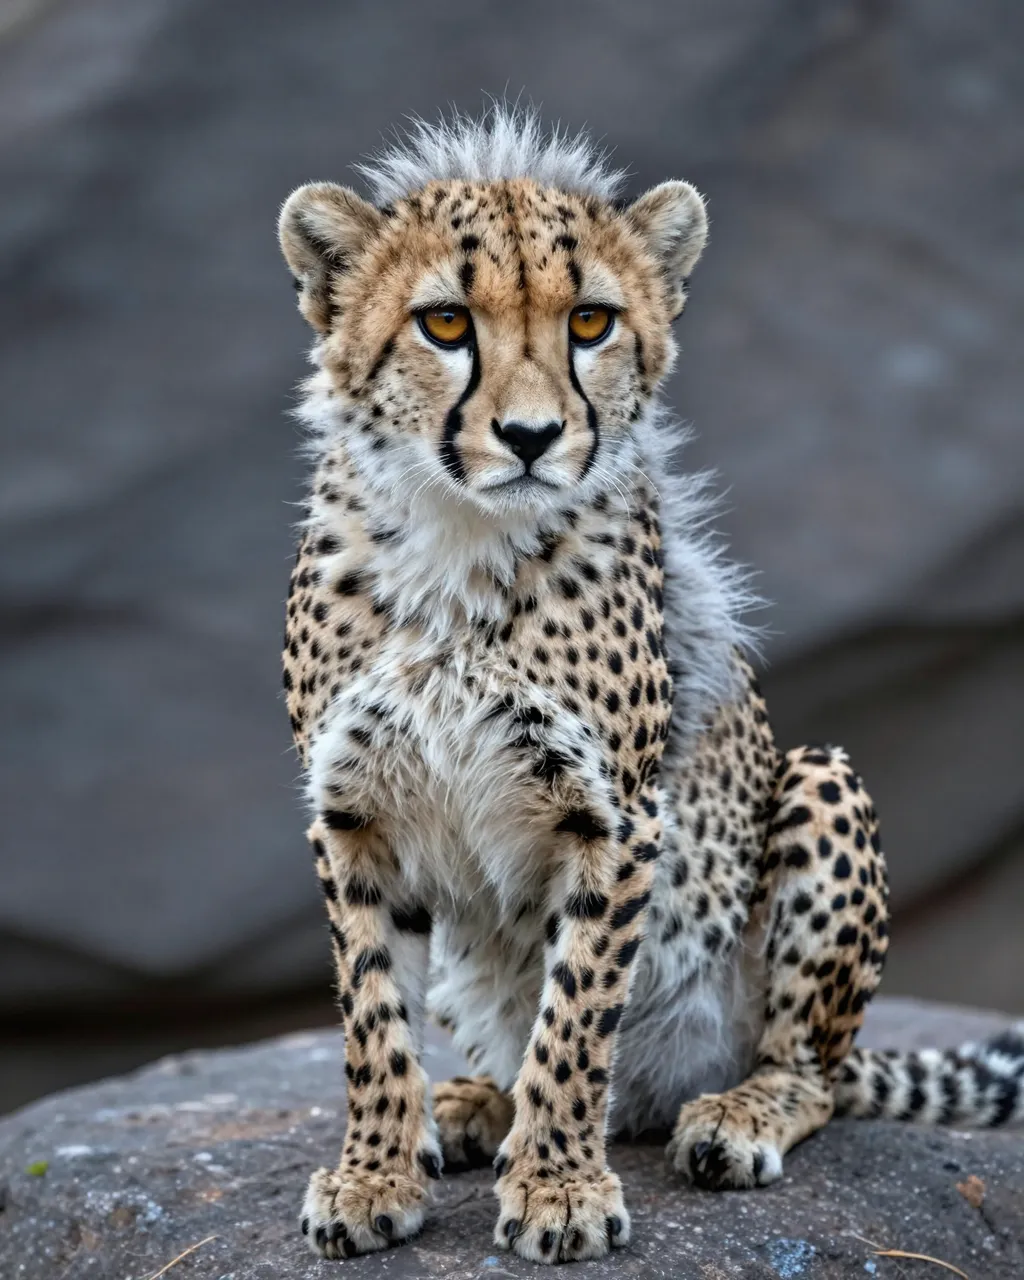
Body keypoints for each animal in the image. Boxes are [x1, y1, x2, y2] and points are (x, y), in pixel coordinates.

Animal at [276, 107, 1024, 1264]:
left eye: (590, 321)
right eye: (444, 323)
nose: (531, 437)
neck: (459, 543)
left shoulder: (614, 813)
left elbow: (578, 1010)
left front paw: (557, 1187)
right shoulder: (353, 808)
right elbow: (369, 1012)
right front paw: (374, 1173)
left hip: (817, 782)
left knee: (806, 1070)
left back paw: (730, 1114)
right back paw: (474, 1103)